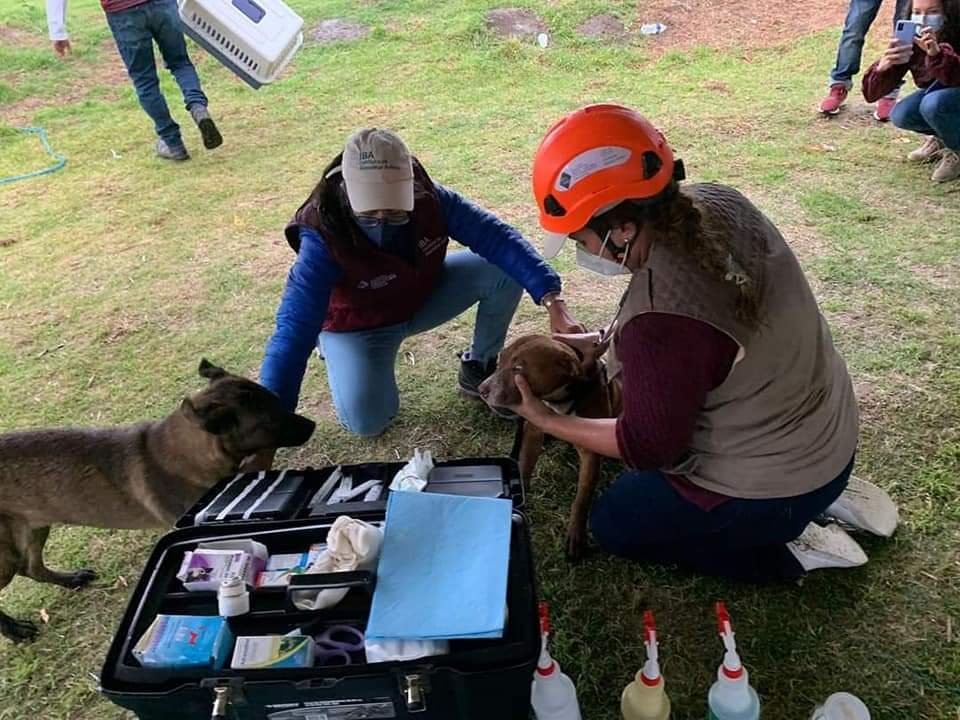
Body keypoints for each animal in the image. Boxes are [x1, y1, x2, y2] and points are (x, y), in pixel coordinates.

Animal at [0, 360, 316, 640]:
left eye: (278, 401)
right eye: (270, 421)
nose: (312, 425)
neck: (181, 451)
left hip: (33, 528)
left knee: (31, 567)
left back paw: (70, 580)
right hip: (7, 554)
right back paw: (14, 631)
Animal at [478, 334, 624, 560]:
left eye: (518, 368)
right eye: (499, 361)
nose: (481, 390)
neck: (558, 400)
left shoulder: (590, 451)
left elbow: (582, 497)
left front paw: (576, 534)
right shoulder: (533, 430)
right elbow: (525, 466)